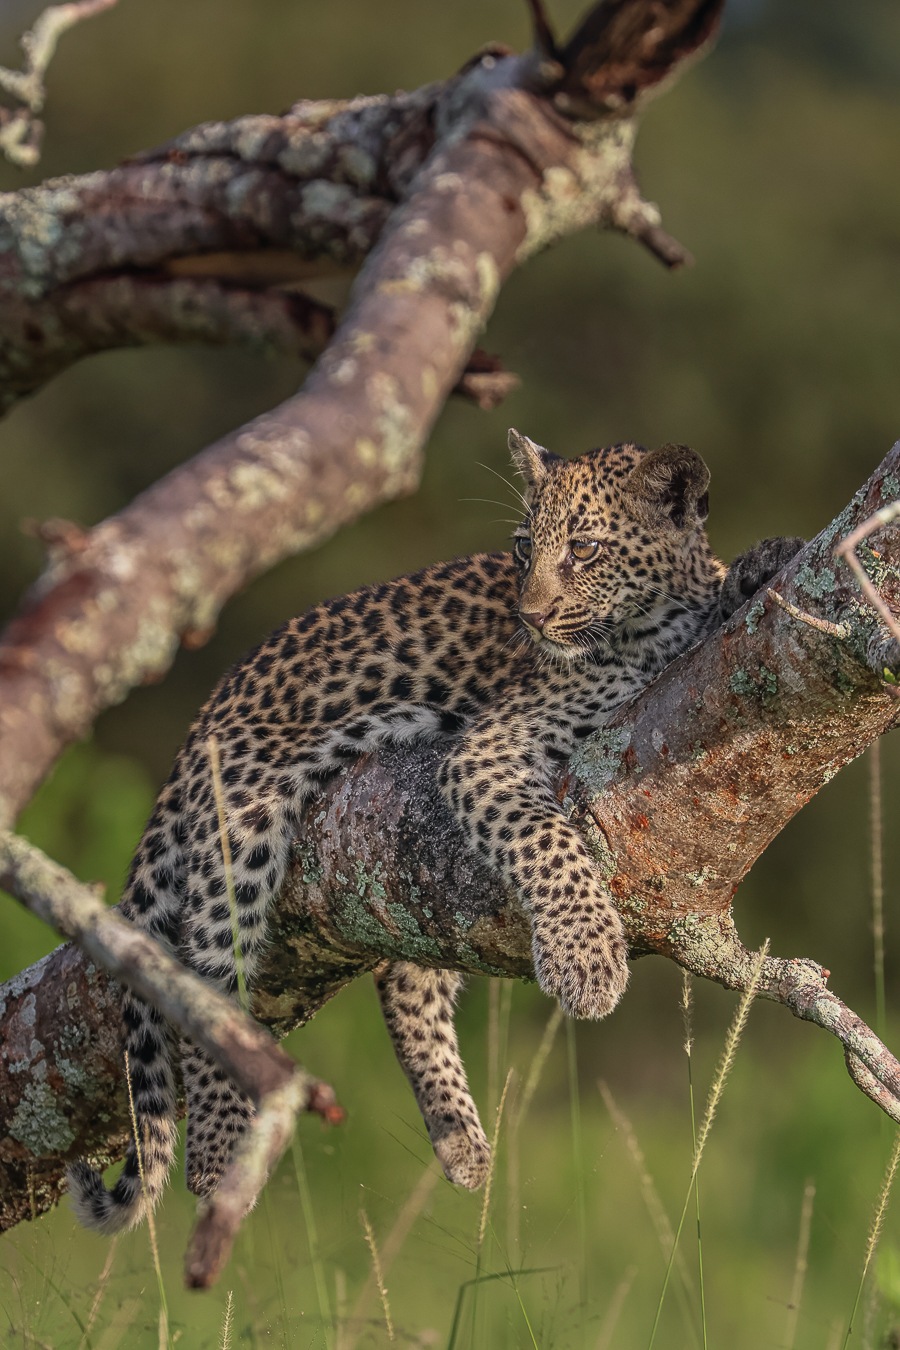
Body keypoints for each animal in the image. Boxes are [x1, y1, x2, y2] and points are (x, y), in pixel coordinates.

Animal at [68, 428, 802, 1233]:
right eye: (523, 547)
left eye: (583, 548)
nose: (531, 617)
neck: (652, 629)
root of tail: (206, 715)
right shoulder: (483, 753)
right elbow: (548, 843)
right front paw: (586, 960)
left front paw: (764, 559)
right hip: (241, 829)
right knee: (208, 978)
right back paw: (218, 1148)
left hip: (415, 894)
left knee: (405, 981)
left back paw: (461, 1142)